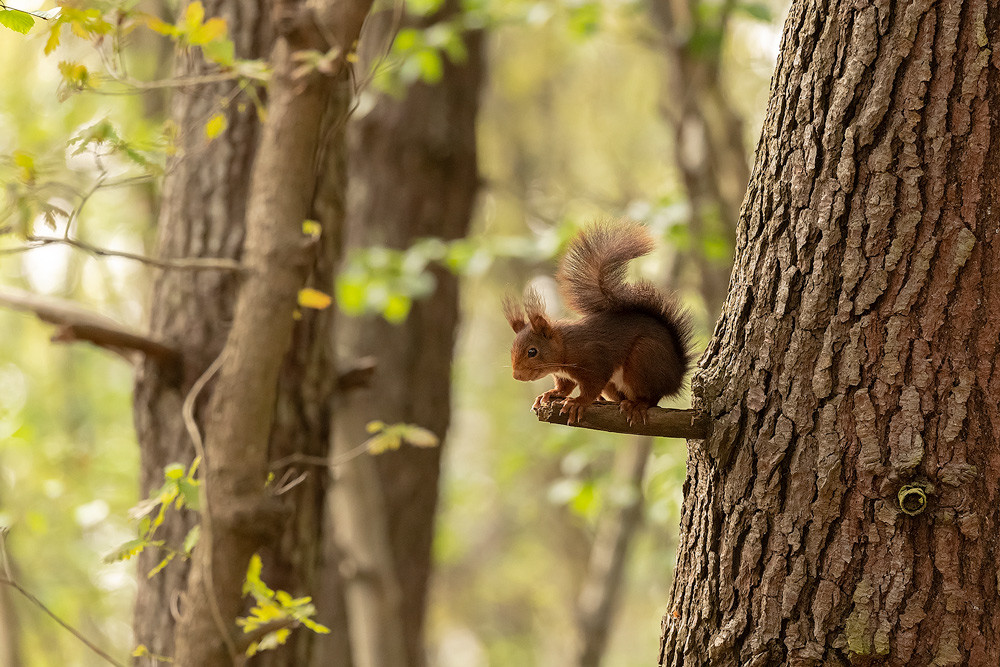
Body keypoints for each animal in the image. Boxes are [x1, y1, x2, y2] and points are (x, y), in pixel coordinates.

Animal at [504, 222, 692, 426]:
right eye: (512, 349)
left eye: (532, 351)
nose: (516, 376)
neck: (566, 347)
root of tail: (676, 376)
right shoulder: (564, 374)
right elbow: (565, 386)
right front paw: (552, 393)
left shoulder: (595, 359)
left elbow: (592, 385)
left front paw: (579, 402)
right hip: (616, 383)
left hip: (644, 358)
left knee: (652, 396)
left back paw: (638, 404)